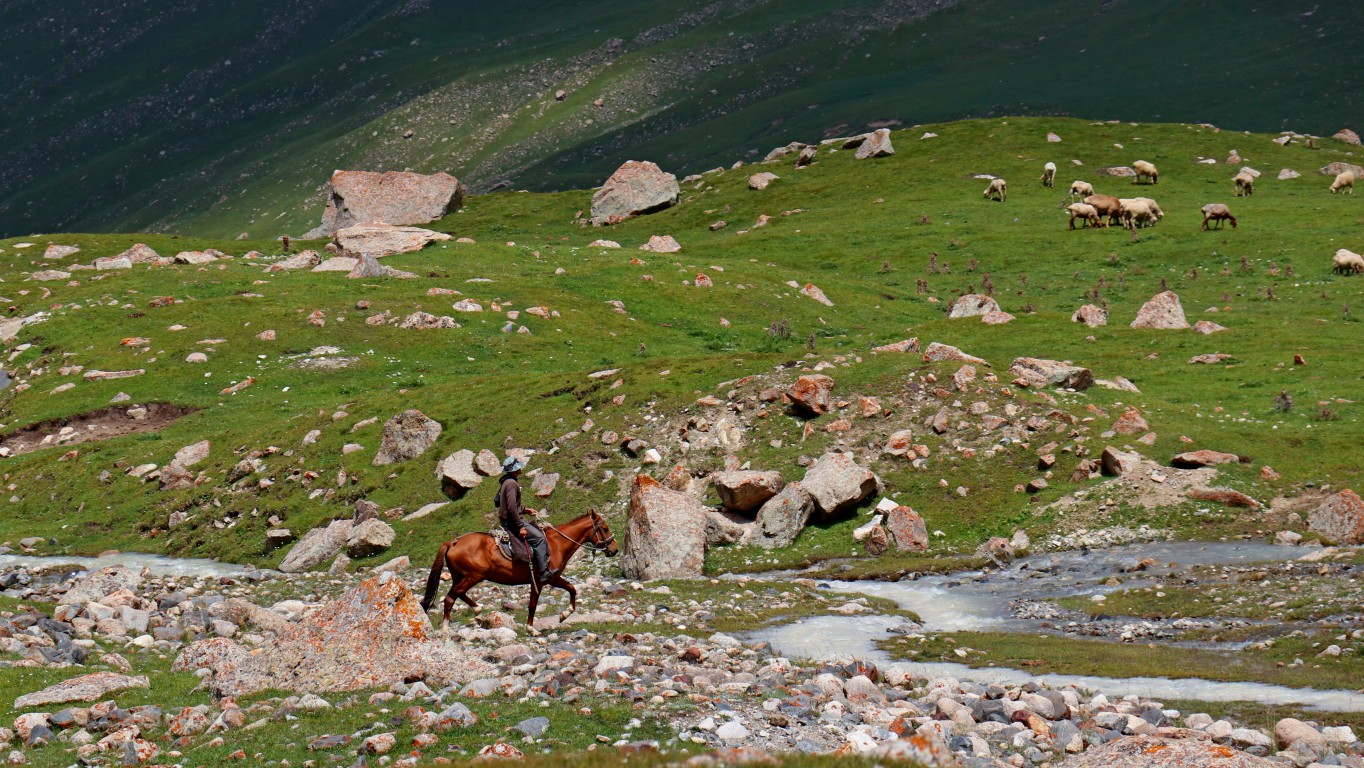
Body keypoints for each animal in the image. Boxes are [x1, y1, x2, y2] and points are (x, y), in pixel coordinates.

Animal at [417, 510, 621, 630]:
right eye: (604, 528)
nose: (615, 549)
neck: (556, 544)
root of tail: (453, 542)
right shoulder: (544, 579)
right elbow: (534, 604)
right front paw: (531, 628)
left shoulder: (550, 579)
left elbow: (572, 589)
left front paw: (564, 614)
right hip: (472, 577)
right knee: (450, 597)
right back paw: (445, 629)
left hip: (461, 576)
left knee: (457, 594)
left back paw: (477, 609)